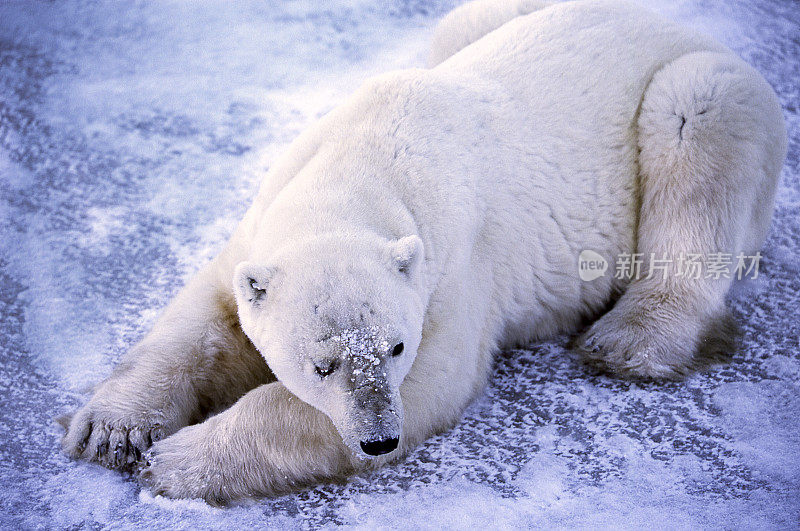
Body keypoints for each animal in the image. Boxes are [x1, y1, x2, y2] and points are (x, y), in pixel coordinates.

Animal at [61, 0, 780, 502]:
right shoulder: (262, 221)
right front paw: (113, 432)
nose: (380, 438)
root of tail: (680, 27)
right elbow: (203, 320)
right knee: (462, 21)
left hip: (705, 96)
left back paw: (628, 340)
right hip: (484, 23)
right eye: (322, 363)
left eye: (395, 346)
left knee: (696, 130)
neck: (358, 165)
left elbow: (434, 379)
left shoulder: (456, 261)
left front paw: (177, 461)